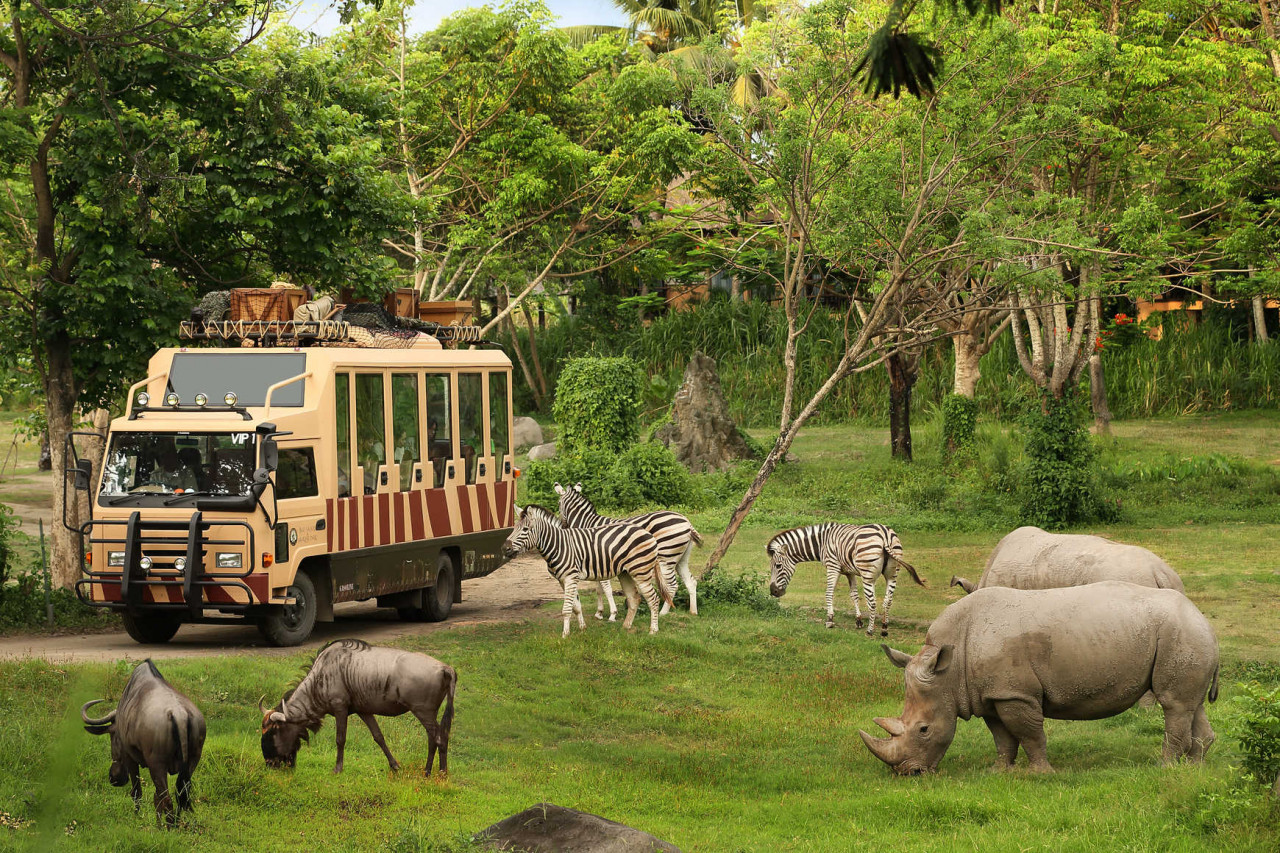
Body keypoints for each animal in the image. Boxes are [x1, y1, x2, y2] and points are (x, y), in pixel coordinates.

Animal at [501, 502, 680, 635]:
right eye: (514, 528)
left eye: (525, 529)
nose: (505, 549)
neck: (558, 545)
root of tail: (648, 534)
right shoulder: (563, 580)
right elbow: (576, 606)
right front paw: (582, 628)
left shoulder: (570, 577)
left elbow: (566, 609)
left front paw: (565, 635)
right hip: (625, 573)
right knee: (634, 598)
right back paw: (626, 626)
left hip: (640, 571)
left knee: (653, 599)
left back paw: (653, 630)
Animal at [555, 481, 706, 614]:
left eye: (558, 504)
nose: (563, 526)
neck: (588, 523)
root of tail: (687, 521)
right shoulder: (596, 560)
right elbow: (599, 589)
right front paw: (599, 612)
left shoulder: (601, 557)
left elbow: (606, 588)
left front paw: (611, 614)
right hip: (681, 558)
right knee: (691, 582)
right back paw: (693, 611)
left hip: (666, 557)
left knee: (672, 586)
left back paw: (663, 612)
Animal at [762, 522, 926, 635]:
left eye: (778, 566)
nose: (773, 592)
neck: (822, 543)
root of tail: (885, 535)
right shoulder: (849, 572)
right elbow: (854, 595)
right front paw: (858, 621)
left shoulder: (833, 567)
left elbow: (829, 593)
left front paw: (829, 620)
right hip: (892, 574)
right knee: (888, 600)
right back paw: (884, 628)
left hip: (868, 576)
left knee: (872, 602)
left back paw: (870, 630)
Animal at [865, 581, 1213, 773]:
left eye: (923, 730)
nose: (909, 773)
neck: (948, 671)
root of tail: (1199, 614)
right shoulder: (989, 694)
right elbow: (1002, 737)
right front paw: (999, 772)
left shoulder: (1014, 693)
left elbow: (1030, 734)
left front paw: (1041, 774)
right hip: (1187, 635)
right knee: (1191, 705)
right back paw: (1193, 768)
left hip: (1180, 632)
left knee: (1174, 704)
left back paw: (1163, 768)